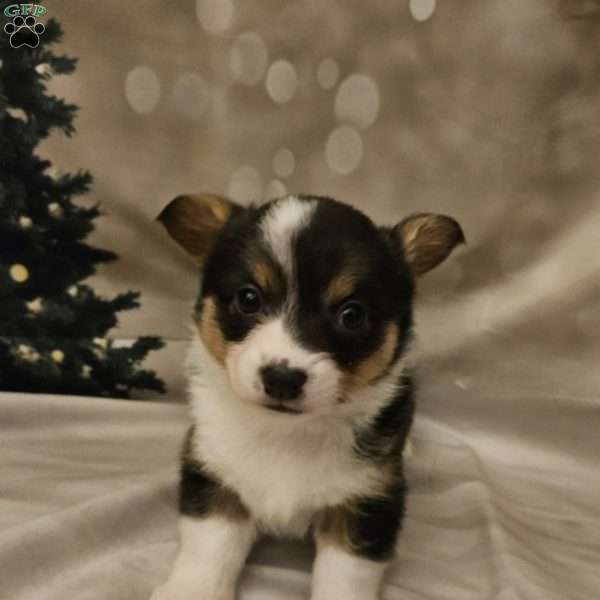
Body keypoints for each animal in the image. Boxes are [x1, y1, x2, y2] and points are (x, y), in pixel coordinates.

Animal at [151, 193, 464, 600]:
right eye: (248, 298)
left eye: (352, 315)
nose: (282, 379)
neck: (286, 433)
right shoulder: (215, 477)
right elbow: (208, 548)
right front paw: (192, 590)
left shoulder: (366, 504)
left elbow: (345, 579)